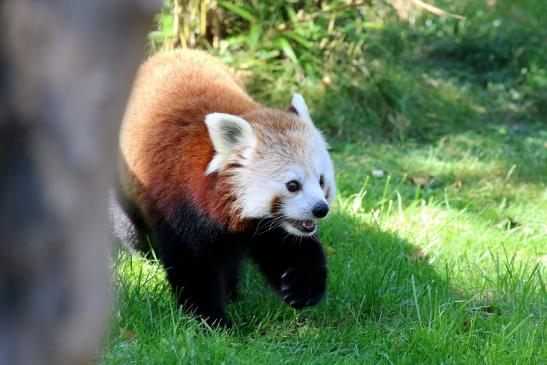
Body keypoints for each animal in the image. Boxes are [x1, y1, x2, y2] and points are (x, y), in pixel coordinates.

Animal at [115, 48, 336, 324]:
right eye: (292, 185)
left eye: (321, 180)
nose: (321, 209)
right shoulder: (181, 203)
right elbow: (194, 267)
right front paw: (210, 321)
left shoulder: (270, 226)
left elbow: (288, 246)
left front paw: (301, 289)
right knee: (129, 225)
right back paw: (140, 254)